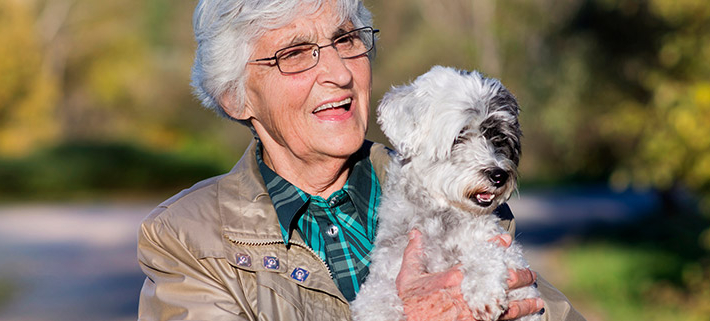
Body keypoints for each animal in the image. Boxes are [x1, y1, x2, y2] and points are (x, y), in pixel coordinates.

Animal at [354, 66, 544, 318]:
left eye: (498, 137)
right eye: (459, 136)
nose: (499, 175)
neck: (440, 214)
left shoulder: (510, 254)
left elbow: (486, 251)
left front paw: (483, 289)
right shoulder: (386, 272)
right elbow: (374, 297)